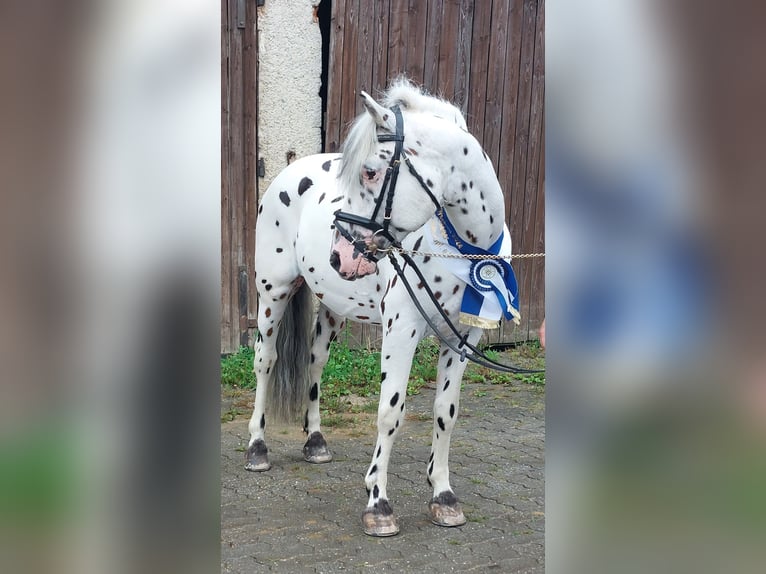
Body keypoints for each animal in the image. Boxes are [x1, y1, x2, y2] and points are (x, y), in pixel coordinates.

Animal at [246, 79, 528, 536]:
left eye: (370, 171)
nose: (341, 254)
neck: (463, 249)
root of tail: (288, 171)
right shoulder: (402, 329)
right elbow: (390, 411)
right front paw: (378, 503)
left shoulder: (462, 338)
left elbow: (446, 412)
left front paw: (443, 496)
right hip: (273, 293)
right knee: (265, 360)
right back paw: (257, 448)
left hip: (333, 307)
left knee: (315, 362)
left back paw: (315, 442)